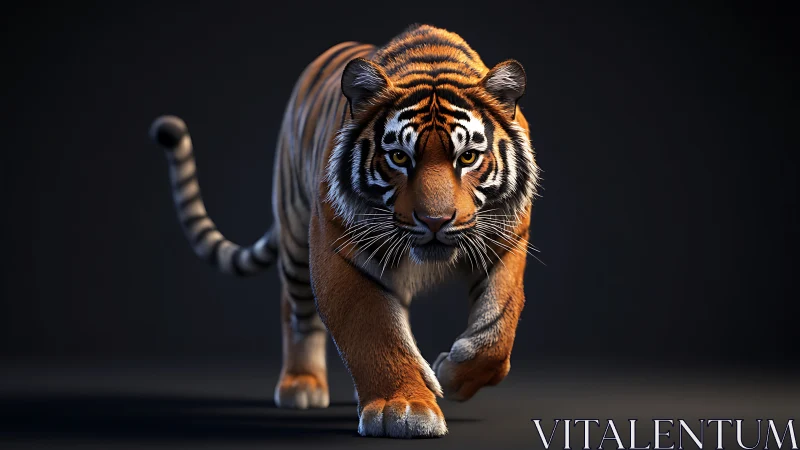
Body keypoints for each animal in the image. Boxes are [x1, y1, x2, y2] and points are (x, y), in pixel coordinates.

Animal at [149, 23, 541, 438]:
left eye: (467, 157)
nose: (435, 220)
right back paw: (301, 385)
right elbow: (374, 328)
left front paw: (451, 376)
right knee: (296, 312)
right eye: (398, 157)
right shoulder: (340, 248)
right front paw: (403, 407)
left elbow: (498, 329)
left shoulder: (507, 239)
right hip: (294, 237)